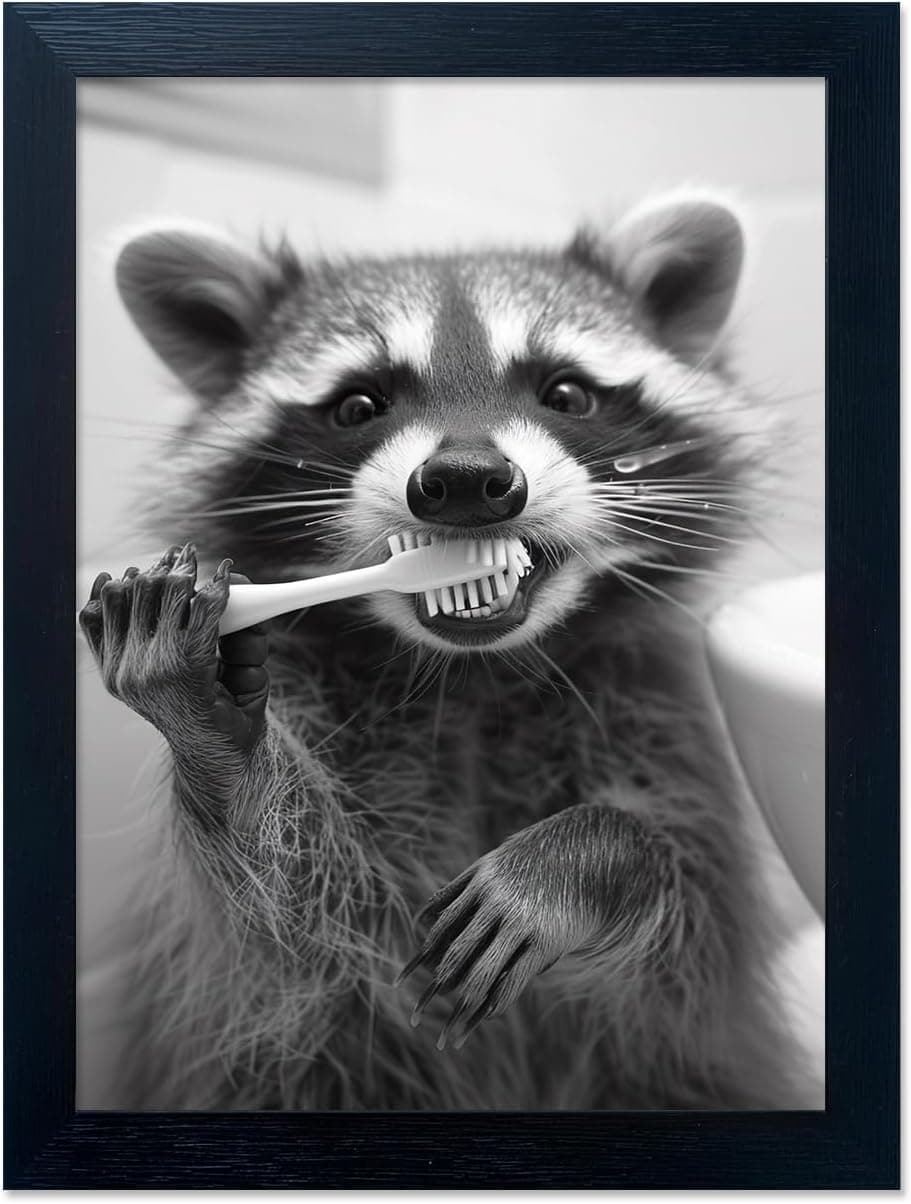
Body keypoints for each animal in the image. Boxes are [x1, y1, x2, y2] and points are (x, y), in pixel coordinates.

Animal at [80, 192, 815, 1109]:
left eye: (566, 392)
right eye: (358, 406)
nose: (466, 480)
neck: (473, 674)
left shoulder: (663, 727)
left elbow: (685, 954)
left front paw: (589, 856)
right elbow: (293, 929)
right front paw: (219, 743)